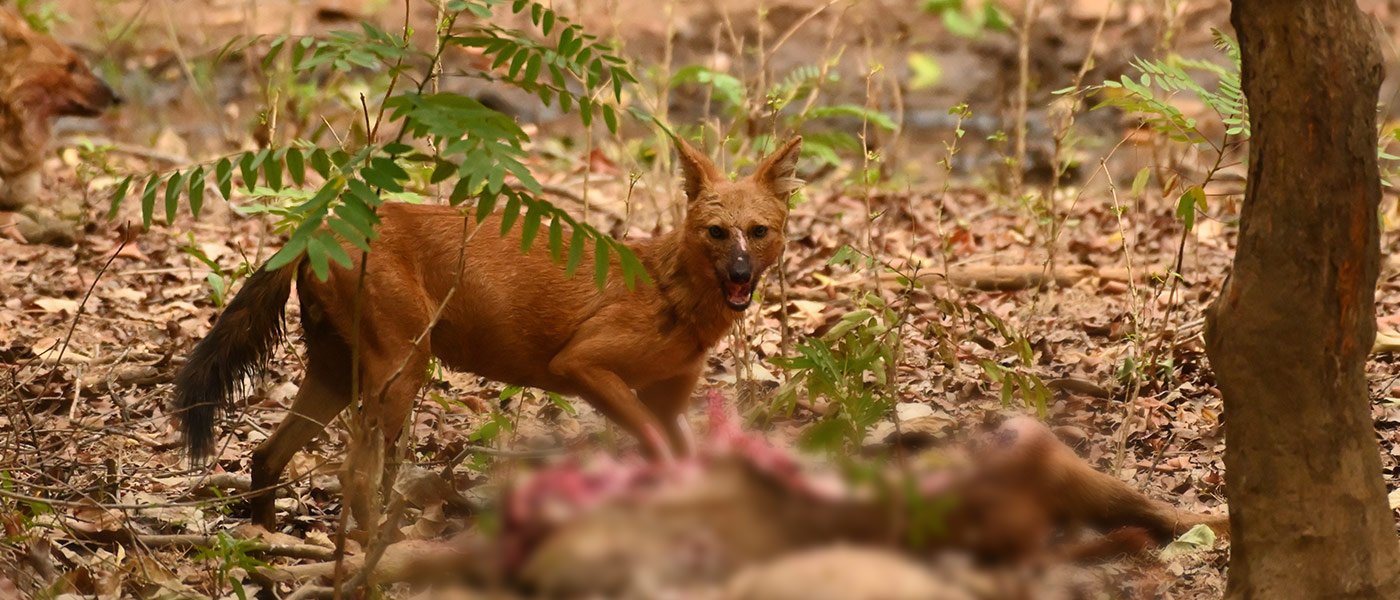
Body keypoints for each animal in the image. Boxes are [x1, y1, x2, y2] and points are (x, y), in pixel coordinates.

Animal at [177, 134, 800, 523]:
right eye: (717, 232)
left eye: (759, 231)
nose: (740, 273)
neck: (674, 291)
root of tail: (319, 230)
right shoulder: (584, 364)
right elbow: (659, 453)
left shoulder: (669, 401)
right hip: (401, 369)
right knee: (354, 477)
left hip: (335, 373)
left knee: (267, 456)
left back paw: (263, 542)